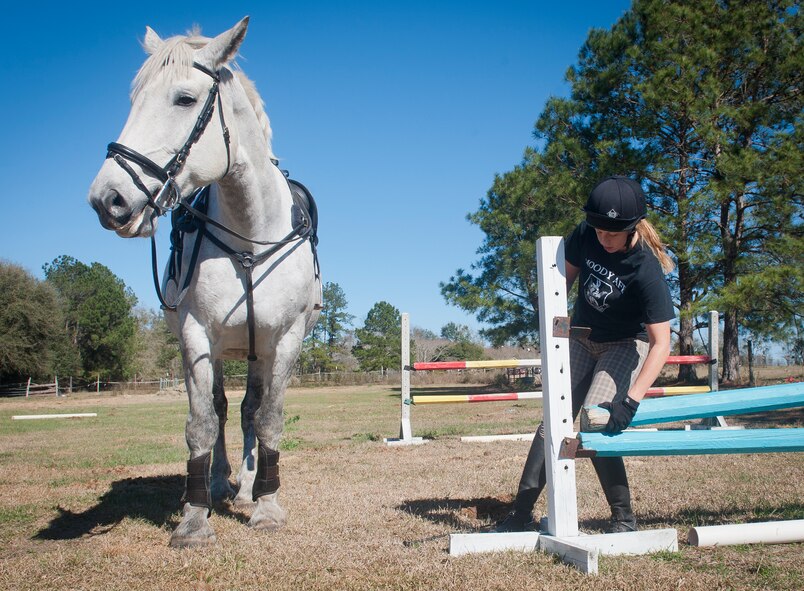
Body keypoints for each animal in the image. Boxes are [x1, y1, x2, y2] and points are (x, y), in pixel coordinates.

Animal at [87, 17, 322, 547]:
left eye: (184, 99)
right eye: (134, 99)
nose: (107, 199)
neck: (250, 237)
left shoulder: (285, 340)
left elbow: (269, 419)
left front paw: (266, 505)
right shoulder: (196, 335)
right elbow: (201, 423)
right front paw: (195, 518)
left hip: (257, 352)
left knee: (249, 410)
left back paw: (249, 487)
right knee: (221, 410)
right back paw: (218, 484)